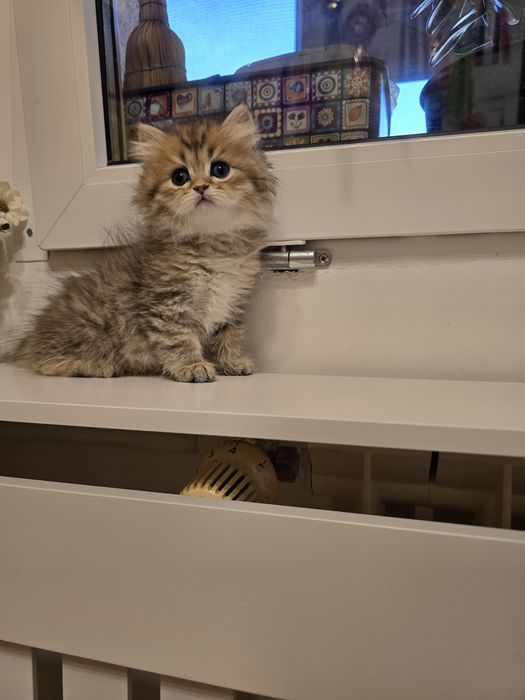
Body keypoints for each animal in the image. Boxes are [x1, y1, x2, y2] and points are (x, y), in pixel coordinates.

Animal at [10, 104, 277, 382]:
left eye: (220, 170)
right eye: (180, 176)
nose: (201, 187)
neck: (212, 244)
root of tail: (32, 335)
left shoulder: (233, 301)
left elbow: (229, 334)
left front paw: (231, 361)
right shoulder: (167, 302)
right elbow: (178, 338)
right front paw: (192, 365)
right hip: (86, 333)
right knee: (44, 362)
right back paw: (94, 367)